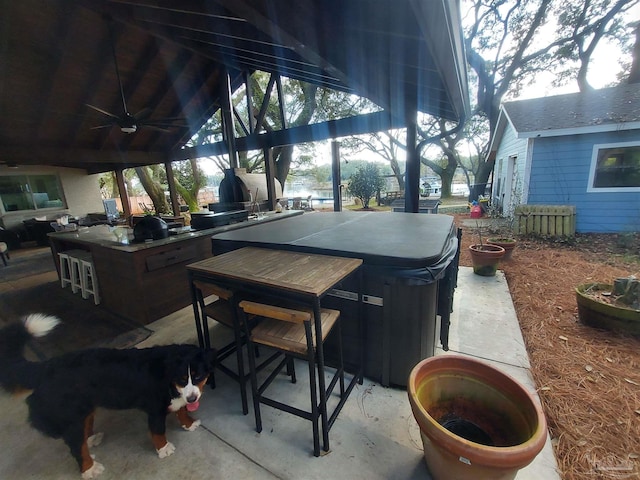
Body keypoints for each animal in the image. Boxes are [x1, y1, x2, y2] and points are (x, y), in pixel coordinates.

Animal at [0, 314, 218, 478]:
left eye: (198, 376)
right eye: (182, 379)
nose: (193, 399)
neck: (168, 376)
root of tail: (45, 367)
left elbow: (181, 410)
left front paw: (188, 423)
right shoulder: (155, 408)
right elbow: (158, 431)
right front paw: (163, 449)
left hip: (85, 408)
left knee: (84, 431)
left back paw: (91, 439)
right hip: (71, 417)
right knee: (75, 446)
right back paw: (90, 468)